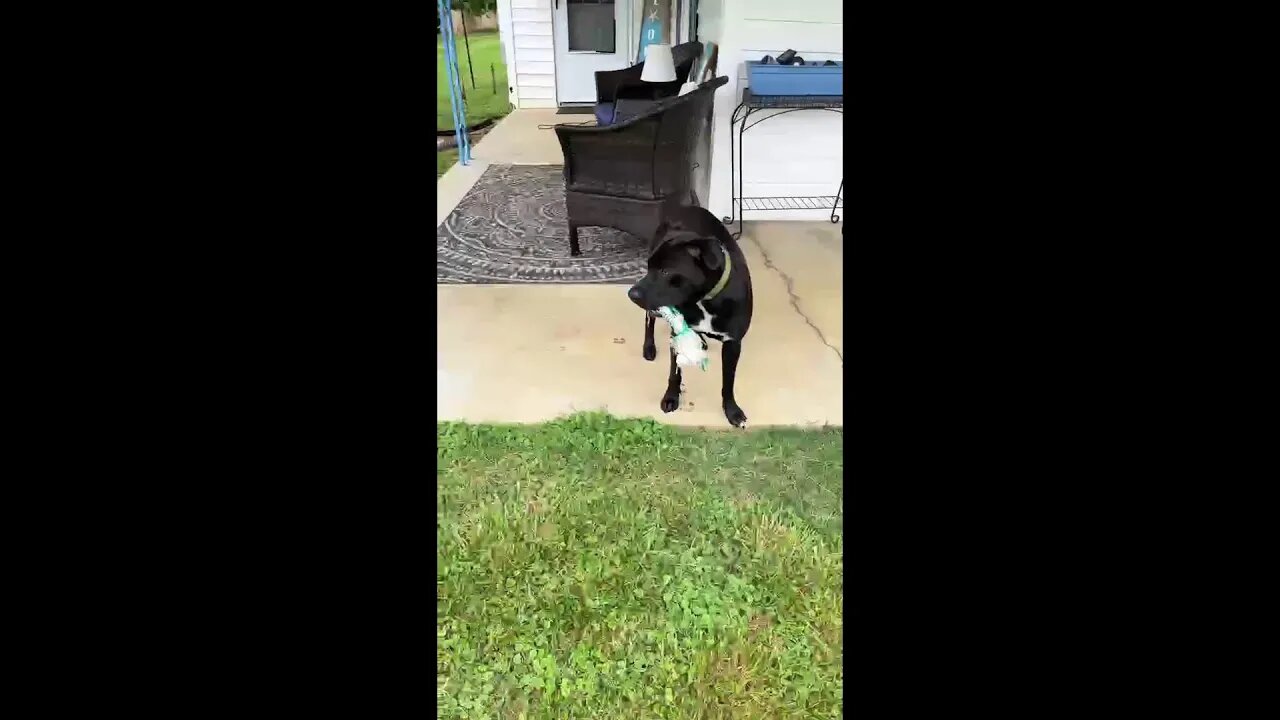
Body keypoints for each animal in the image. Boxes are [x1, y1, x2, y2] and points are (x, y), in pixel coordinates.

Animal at [627, 206, 753, 428]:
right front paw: (671, 397)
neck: (705, 299)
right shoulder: (676, 334)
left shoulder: (733, 343)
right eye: (649, 267)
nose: (632, 294)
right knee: (649, 319)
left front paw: (732, 410)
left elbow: (728, 381)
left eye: (665, 270)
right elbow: (674, 373)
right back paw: (649, 347)